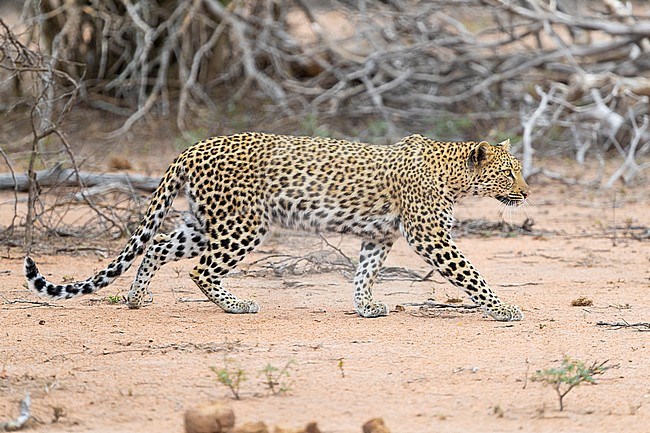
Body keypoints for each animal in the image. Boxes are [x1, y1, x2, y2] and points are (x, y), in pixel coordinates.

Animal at [25, 132, 528, 320]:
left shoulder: (379, 235)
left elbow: (364, 273)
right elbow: (471, 274)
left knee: (158, 246)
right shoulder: (430, 237)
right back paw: (237, 305)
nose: (525, 193)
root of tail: (193, 147)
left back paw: (136, 297)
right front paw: (504, 308)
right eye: (508, 173)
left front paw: (366, 306)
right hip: (242, 224)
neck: (456, 176)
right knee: (200, 270)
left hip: (204, 222)